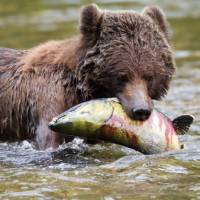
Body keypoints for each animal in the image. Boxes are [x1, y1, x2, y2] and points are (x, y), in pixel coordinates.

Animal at [0, 3, 175, 149]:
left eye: (149, 76)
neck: (80, 86)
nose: (141, 110)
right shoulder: (48, 102)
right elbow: (50, 140)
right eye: (121, 76)